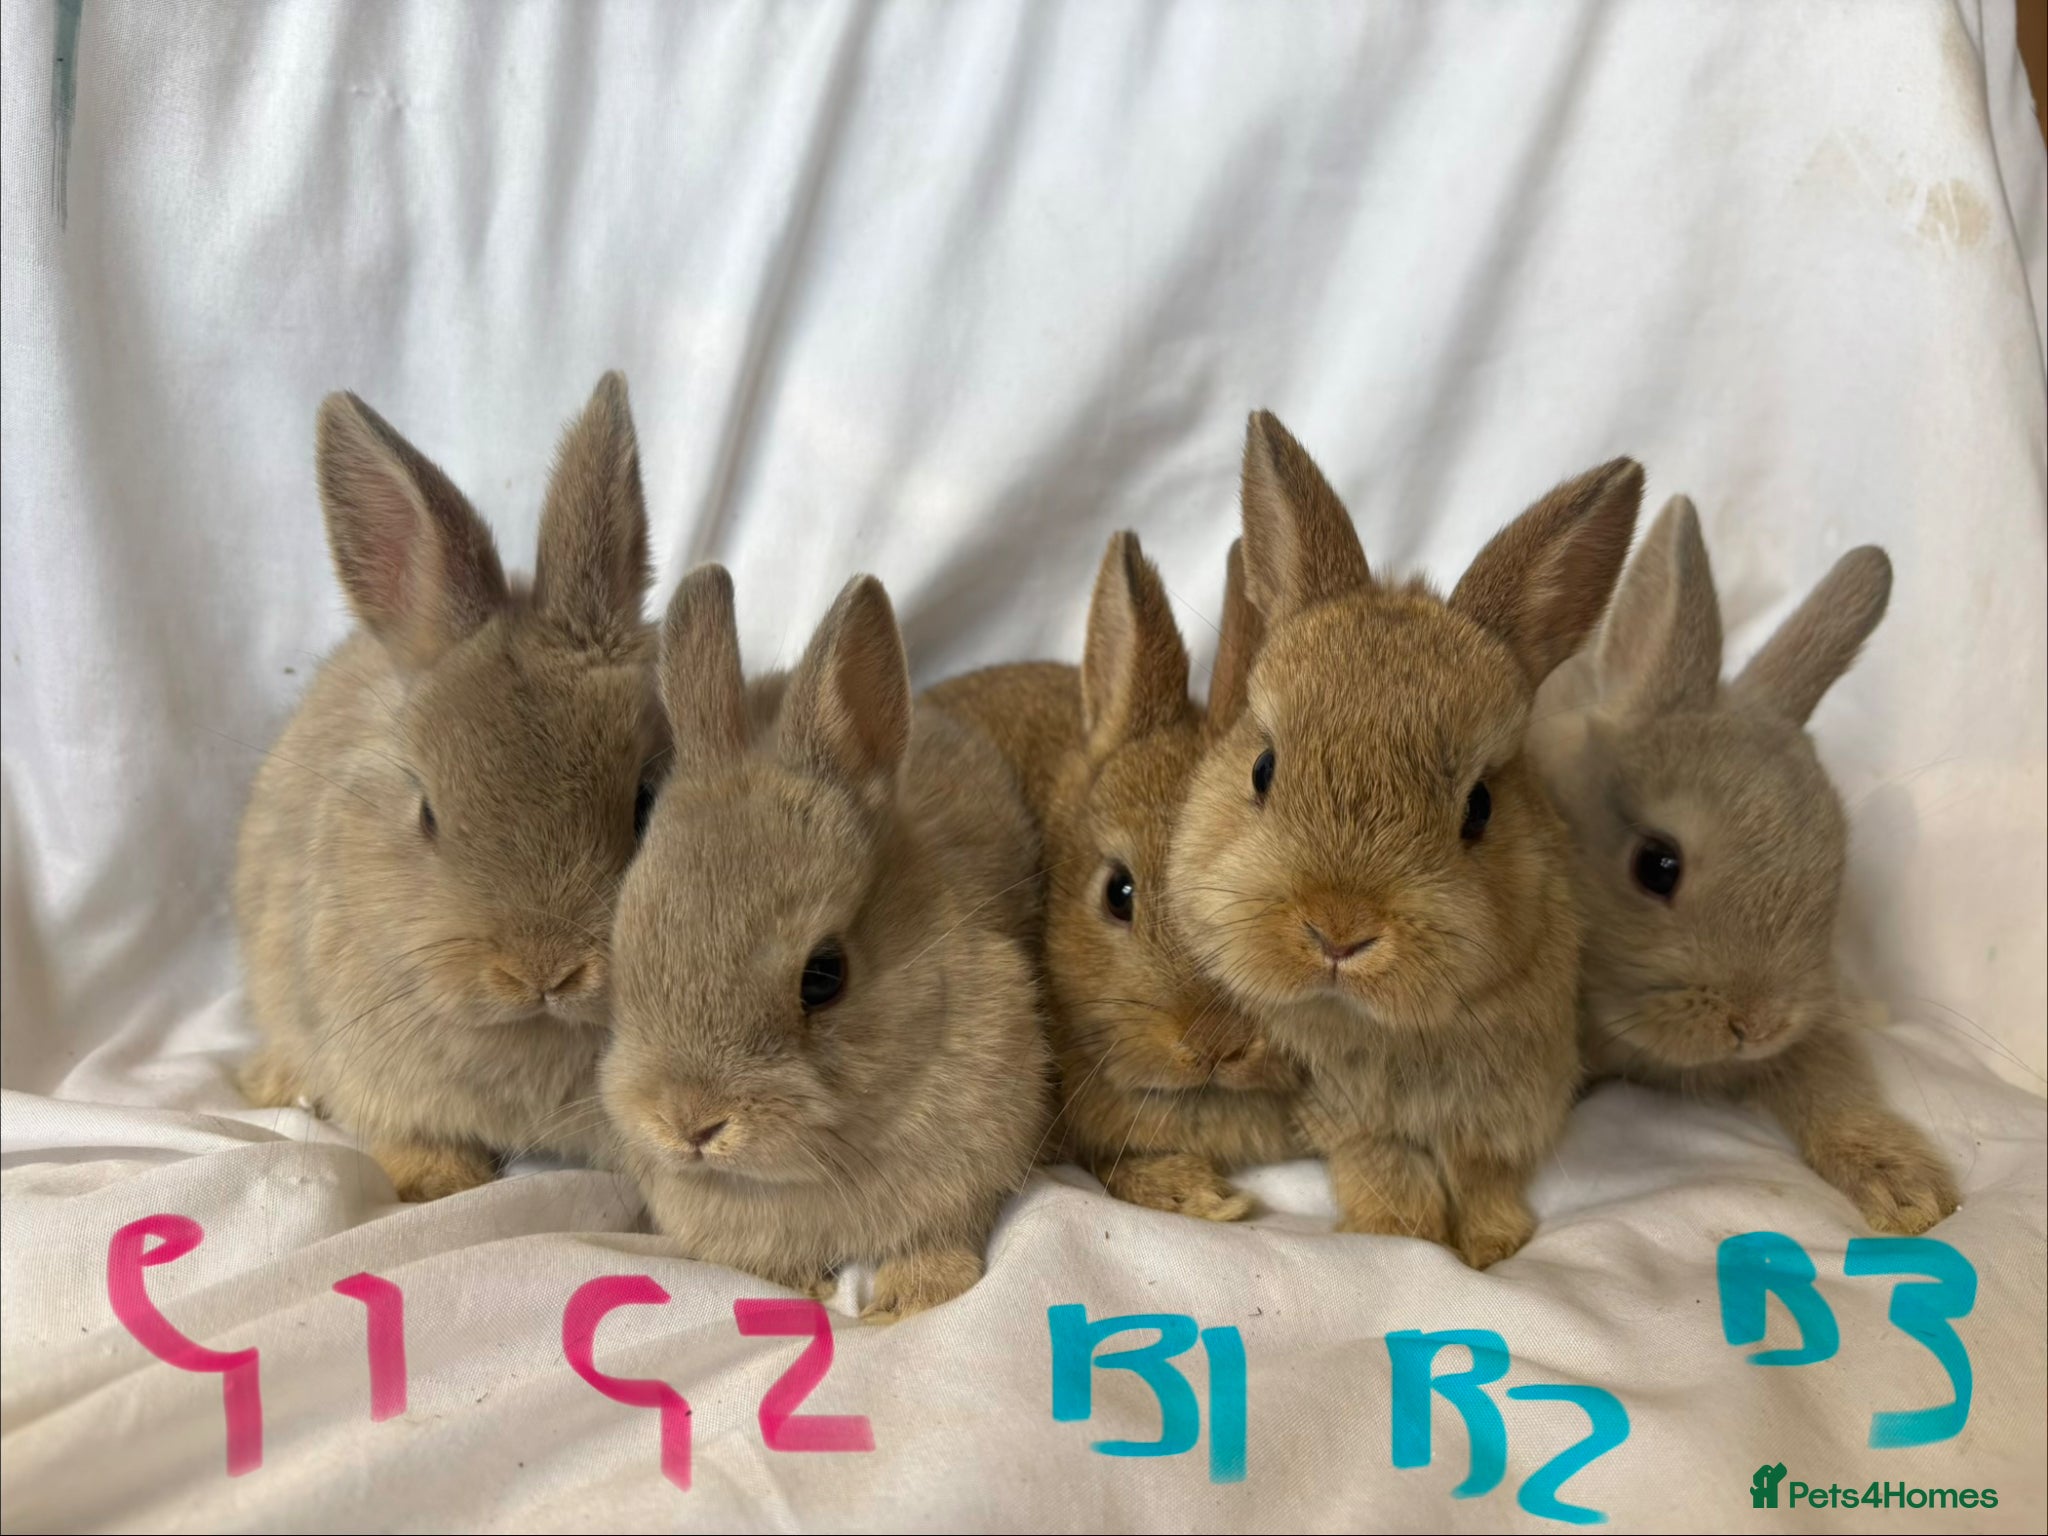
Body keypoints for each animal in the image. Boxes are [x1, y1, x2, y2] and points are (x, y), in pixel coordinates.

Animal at [1167, 411, 1644, 1267]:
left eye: (1479, 807)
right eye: (1263, 768)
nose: (1339, 930)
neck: (1381, 1026)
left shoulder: (1500, 1105)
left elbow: (1481, 1170)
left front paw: (1491, 1248)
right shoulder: (1350, 1114)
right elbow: (1387, 1169)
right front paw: (1402, 1237)